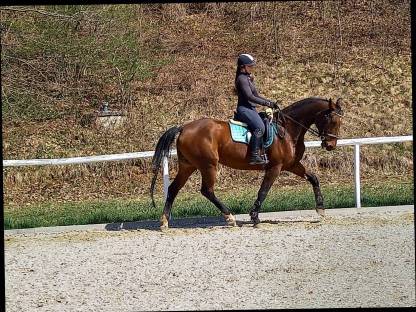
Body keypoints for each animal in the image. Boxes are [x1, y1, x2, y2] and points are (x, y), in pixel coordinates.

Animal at [151, 97, 342, 229]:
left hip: (188, 166)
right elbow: (263, 190)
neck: (287, 130)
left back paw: (164, 222)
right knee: (207, 190)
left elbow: (314, 178)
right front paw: (255, 217)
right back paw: (230, 217)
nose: (330, 145)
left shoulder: (292, 164)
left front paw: (320, 208)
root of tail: (183, 127)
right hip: (208, 165)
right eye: (332, 120)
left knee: (173, 189)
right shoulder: (275, 167)